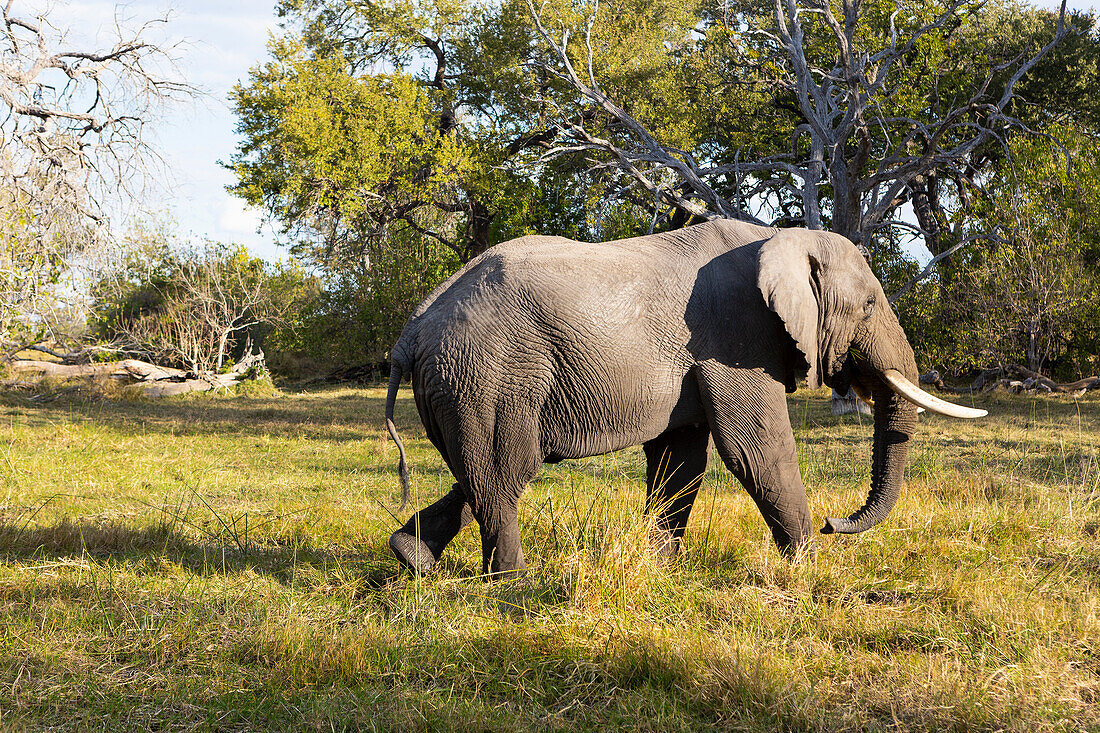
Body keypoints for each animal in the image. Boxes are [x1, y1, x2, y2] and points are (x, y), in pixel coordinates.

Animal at [382, 220, 985, 572]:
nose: (835, 524)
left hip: (461, 385)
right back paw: (513, 586)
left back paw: (412, 560)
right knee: (506, 474)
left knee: (481, 475)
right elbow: (757, 450)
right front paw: (811, 573)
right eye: (869, 306)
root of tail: (411, 331)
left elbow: (681, 459)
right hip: (488, 377)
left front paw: (657, 572)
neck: (780, 237)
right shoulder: (735, 337)